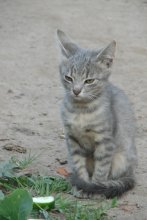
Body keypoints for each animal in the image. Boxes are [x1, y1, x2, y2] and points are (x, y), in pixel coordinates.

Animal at [56, 29, 138, 199]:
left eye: (89, 81)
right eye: (68, 78)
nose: (76, 90)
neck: (81, 111)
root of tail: (131, 171)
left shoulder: (105, 141)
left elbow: (101, 169)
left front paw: (94, 188)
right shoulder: (72, 140)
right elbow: (79, 165)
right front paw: (82, 185)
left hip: (121, 158)